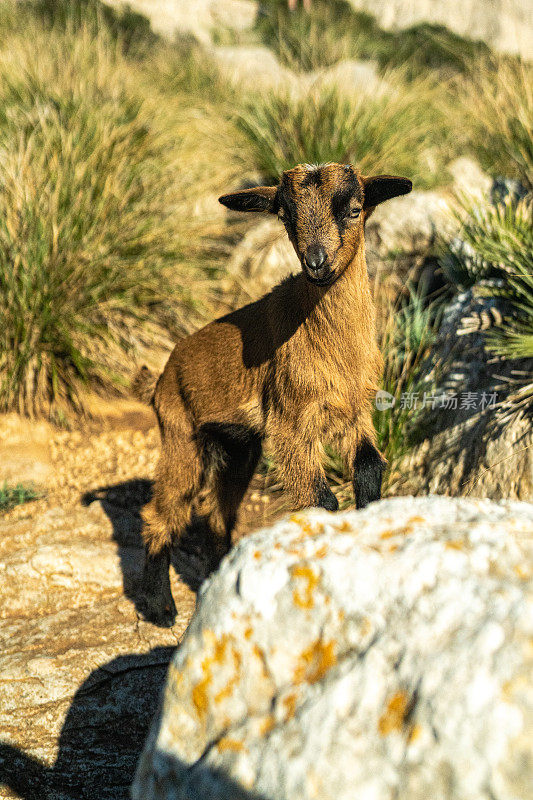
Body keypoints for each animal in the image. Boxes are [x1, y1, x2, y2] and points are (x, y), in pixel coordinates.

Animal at [133, 162, 412, 624]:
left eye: (354, 209)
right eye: (285, 216)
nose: (316, 262)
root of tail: (161, 375)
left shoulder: (354, 413)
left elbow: (370, 469)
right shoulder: (290, 423)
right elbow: (322, 500)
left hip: (238, 450)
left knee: (217, 514)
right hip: (180, 435)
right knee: (162, 511)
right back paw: (160, 607)